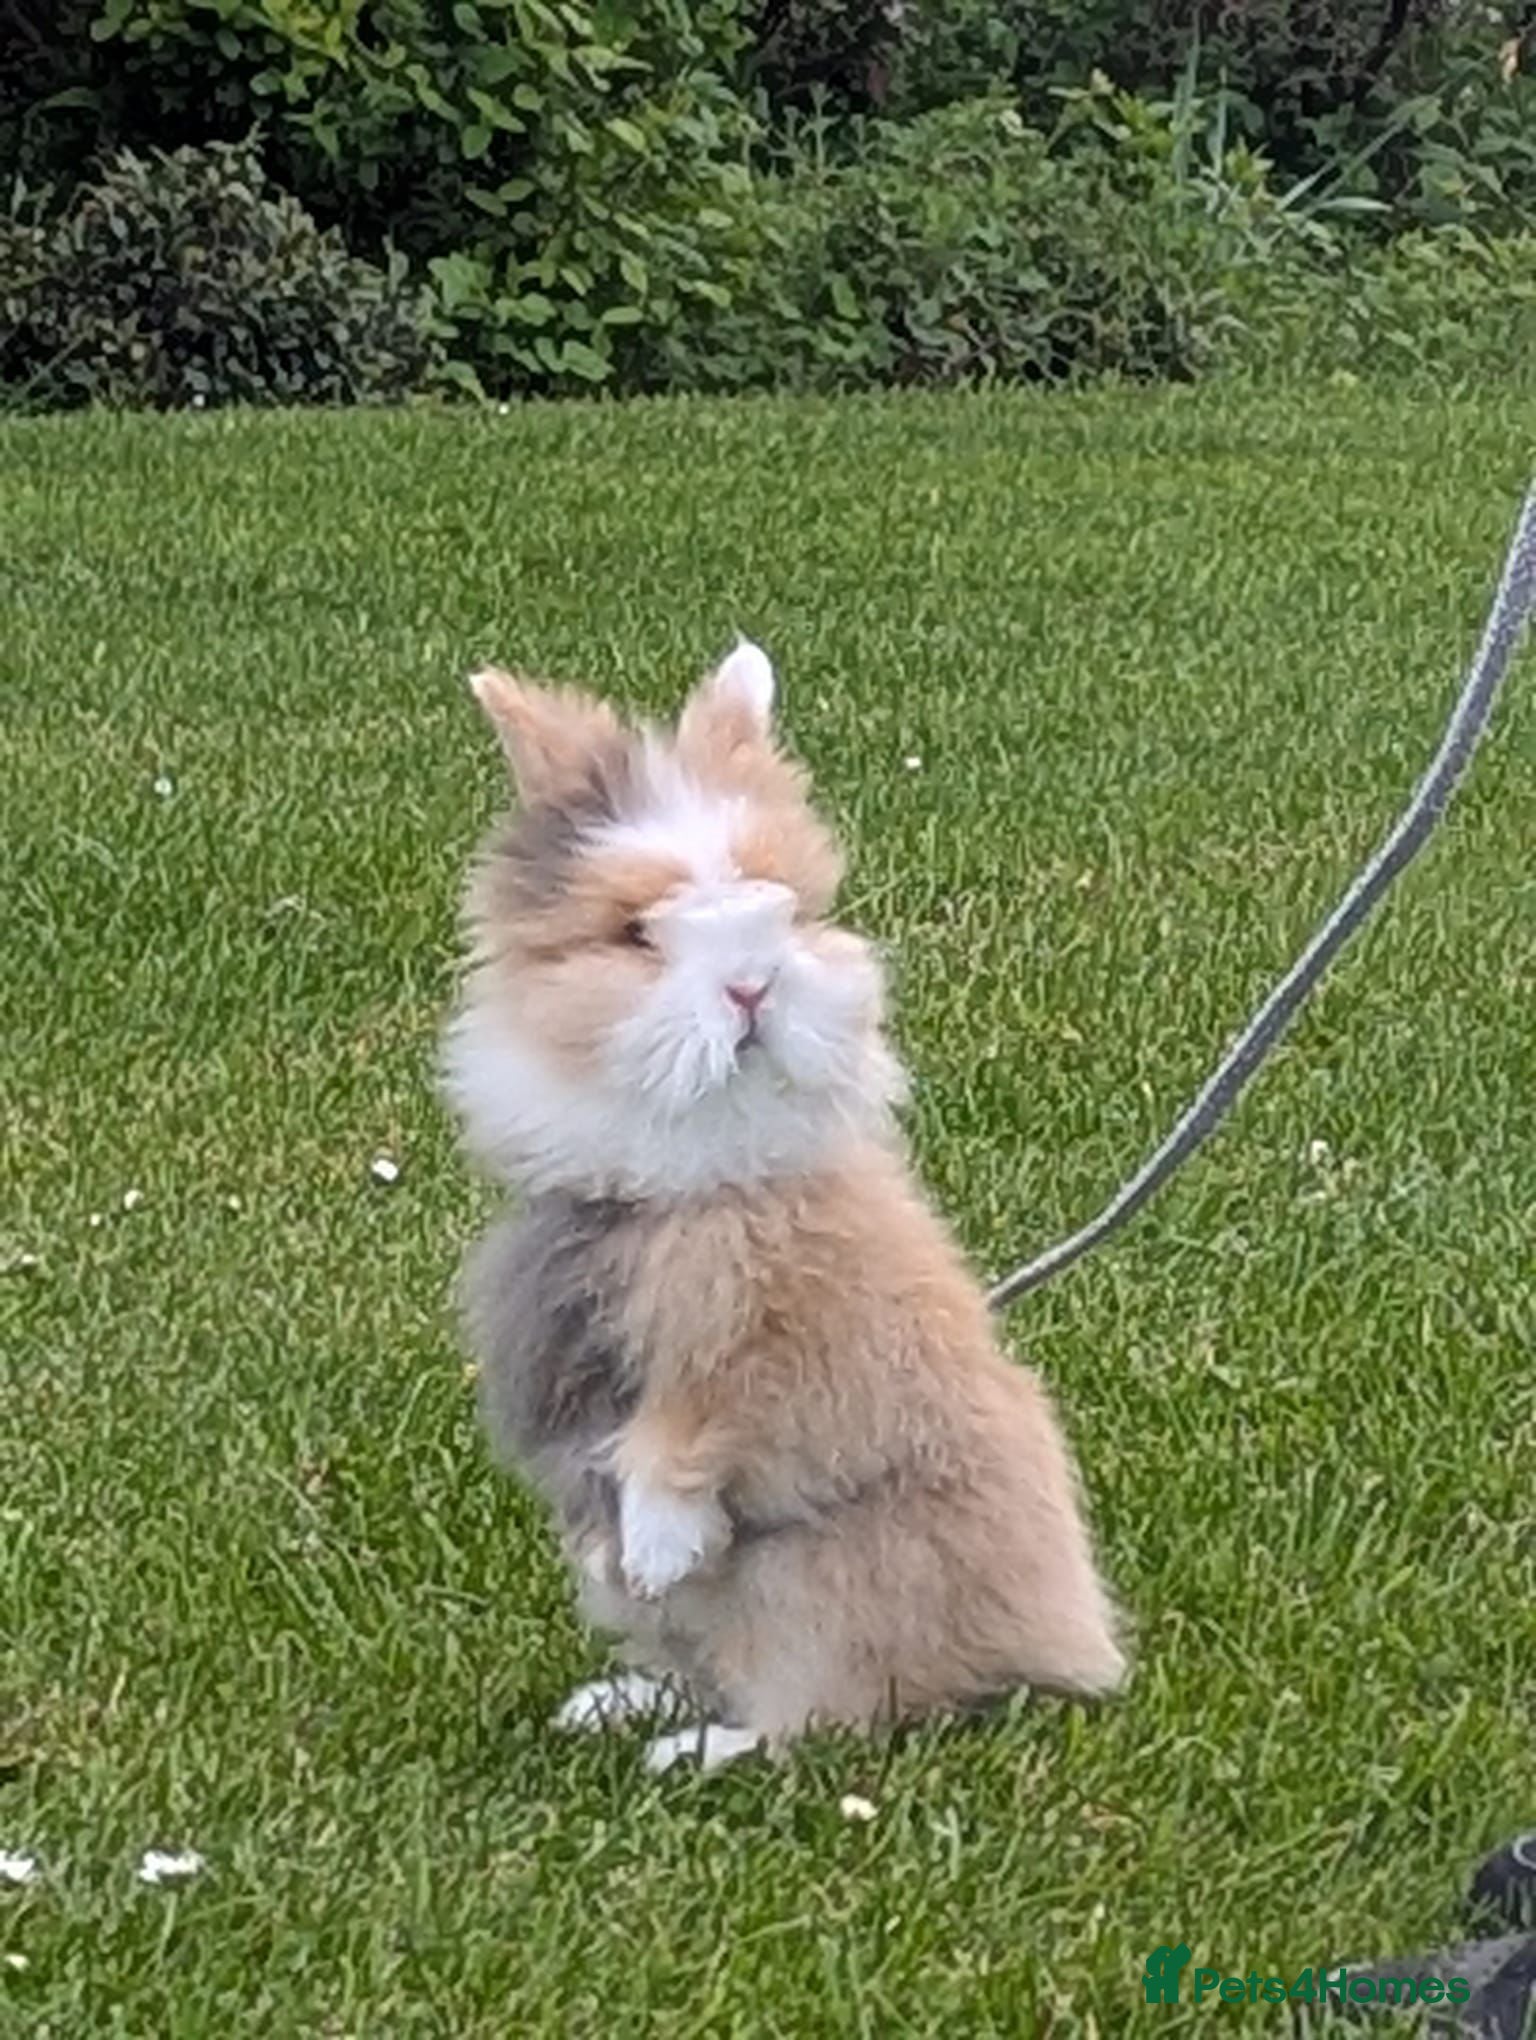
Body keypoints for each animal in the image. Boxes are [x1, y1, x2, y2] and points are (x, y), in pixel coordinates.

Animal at [442, 640, 1126, 1772]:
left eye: (790, 910)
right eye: (636, 932)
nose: (753, 987)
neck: (689, 1179)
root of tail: (1061, 1648)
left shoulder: (759, 1336)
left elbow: (691, 1428)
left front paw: (659, 1542)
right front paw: (632, 1560)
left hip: (824, 1589)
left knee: (815, 1716)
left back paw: (694, 1753)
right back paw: (617, 1705)